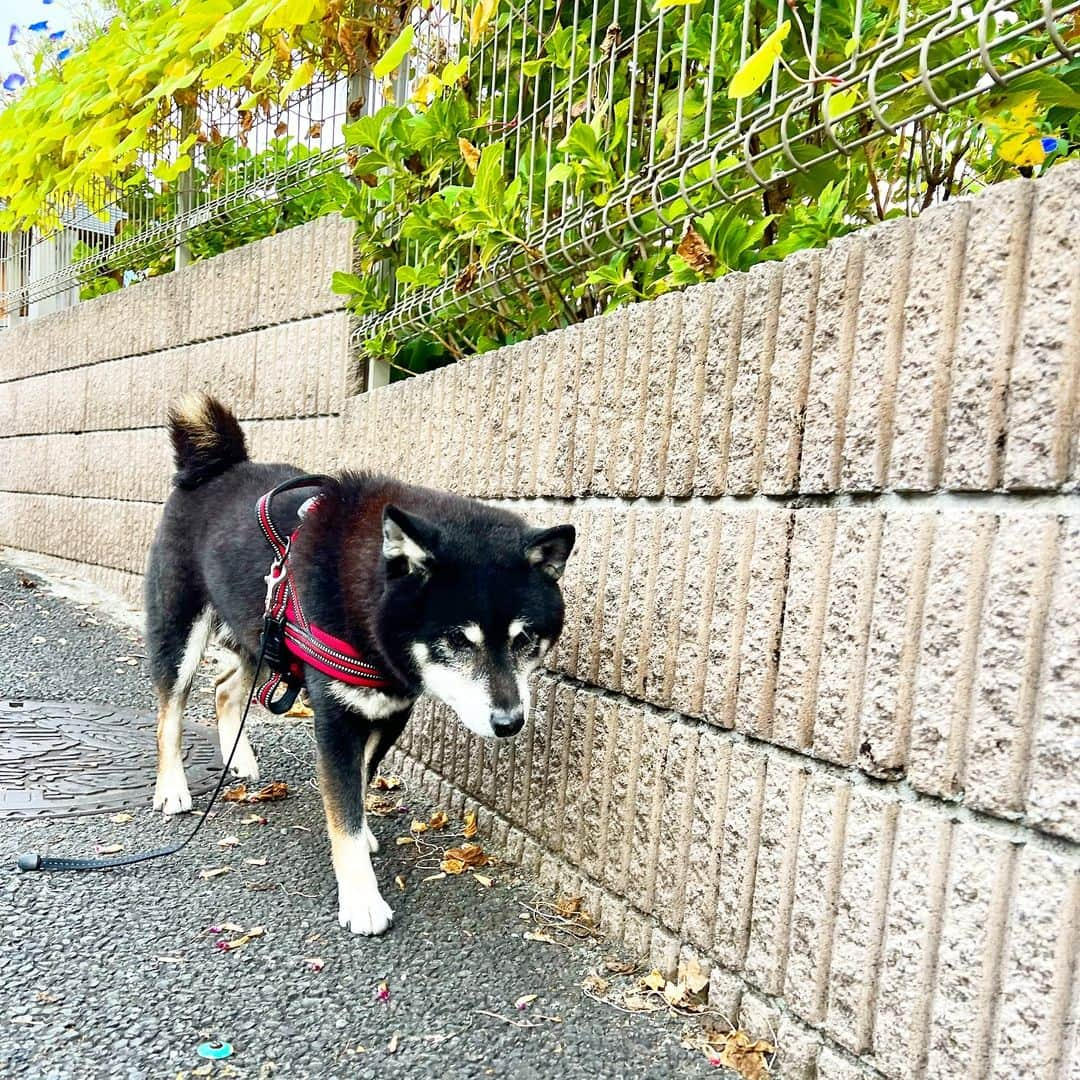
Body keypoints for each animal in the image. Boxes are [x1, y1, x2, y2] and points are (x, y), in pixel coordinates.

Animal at [150, 393, 583, 933]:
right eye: (458, 641)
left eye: (524, 639)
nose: (510, 722)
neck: (370, 613)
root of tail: (217, 467)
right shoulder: (337, 715)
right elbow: (345, 806)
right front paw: (360, 897)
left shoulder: (392, 708)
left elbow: (357, 785)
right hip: (183, 630)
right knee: (171, 710)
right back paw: (172, 788)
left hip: (264, 635)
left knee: (226, 688)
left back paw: (240, 759)